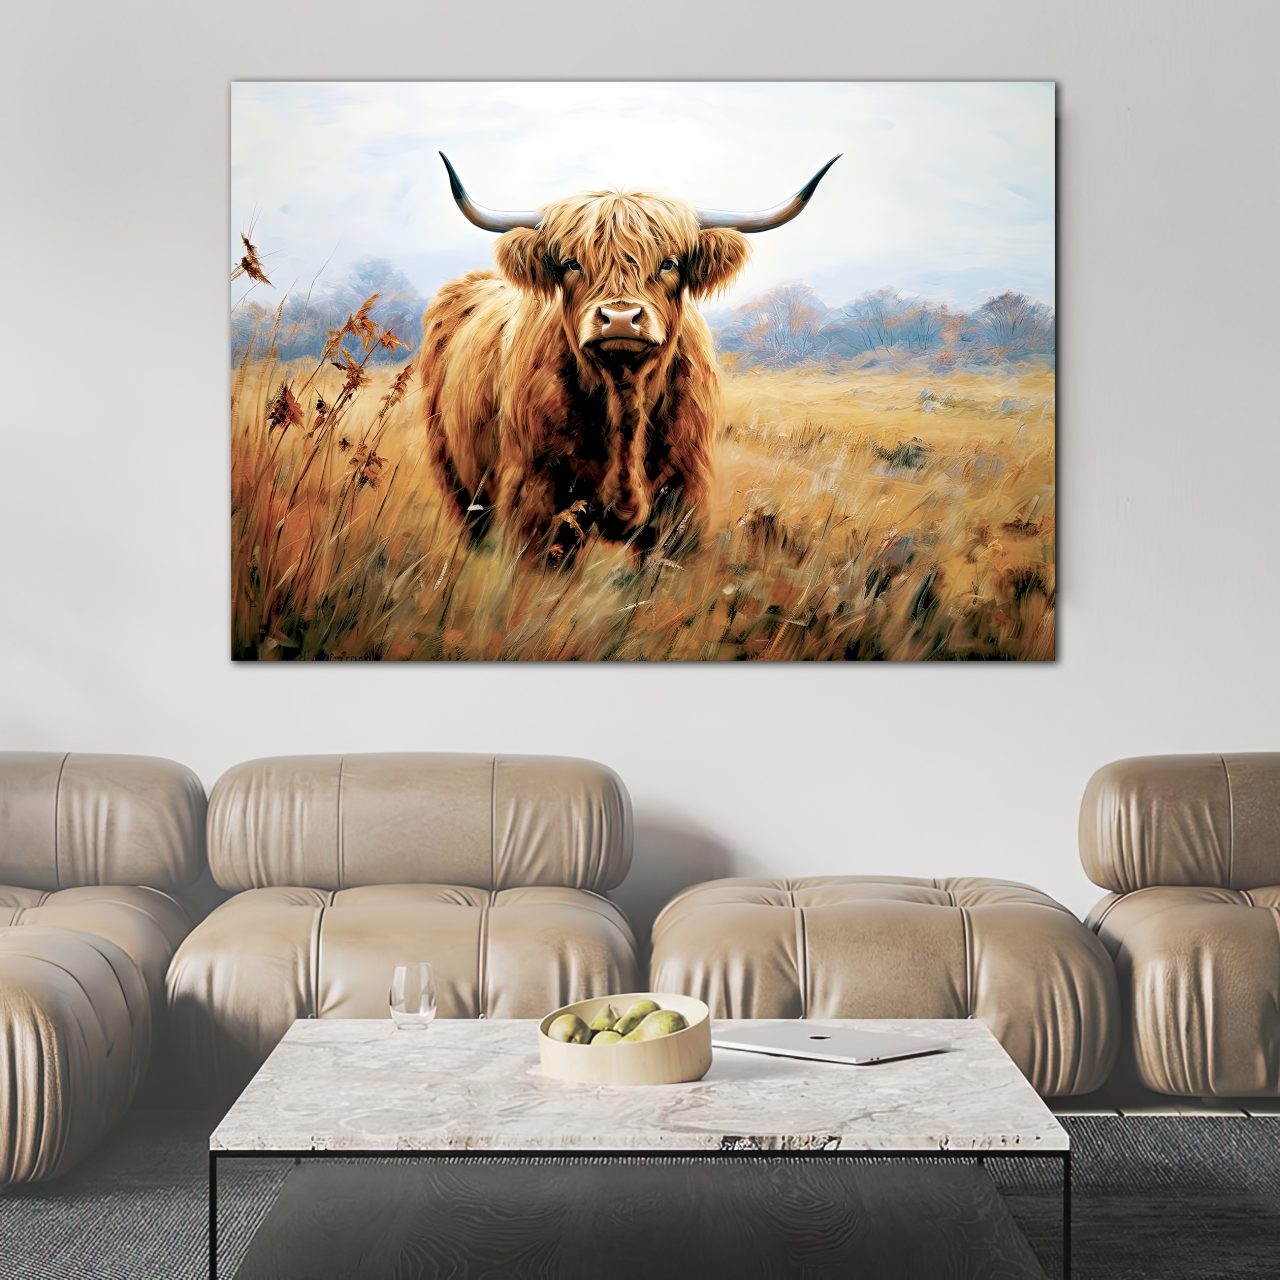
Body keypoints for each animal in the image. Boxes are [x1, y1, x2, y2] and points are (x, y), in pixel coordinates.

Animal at [419, 152, 839, 561]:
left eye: (669, 263)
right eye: (572, 263)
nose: (620, 318)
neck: (624, 392)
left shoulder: (682, 503)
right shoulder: (538, 501)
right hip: (458, 478)